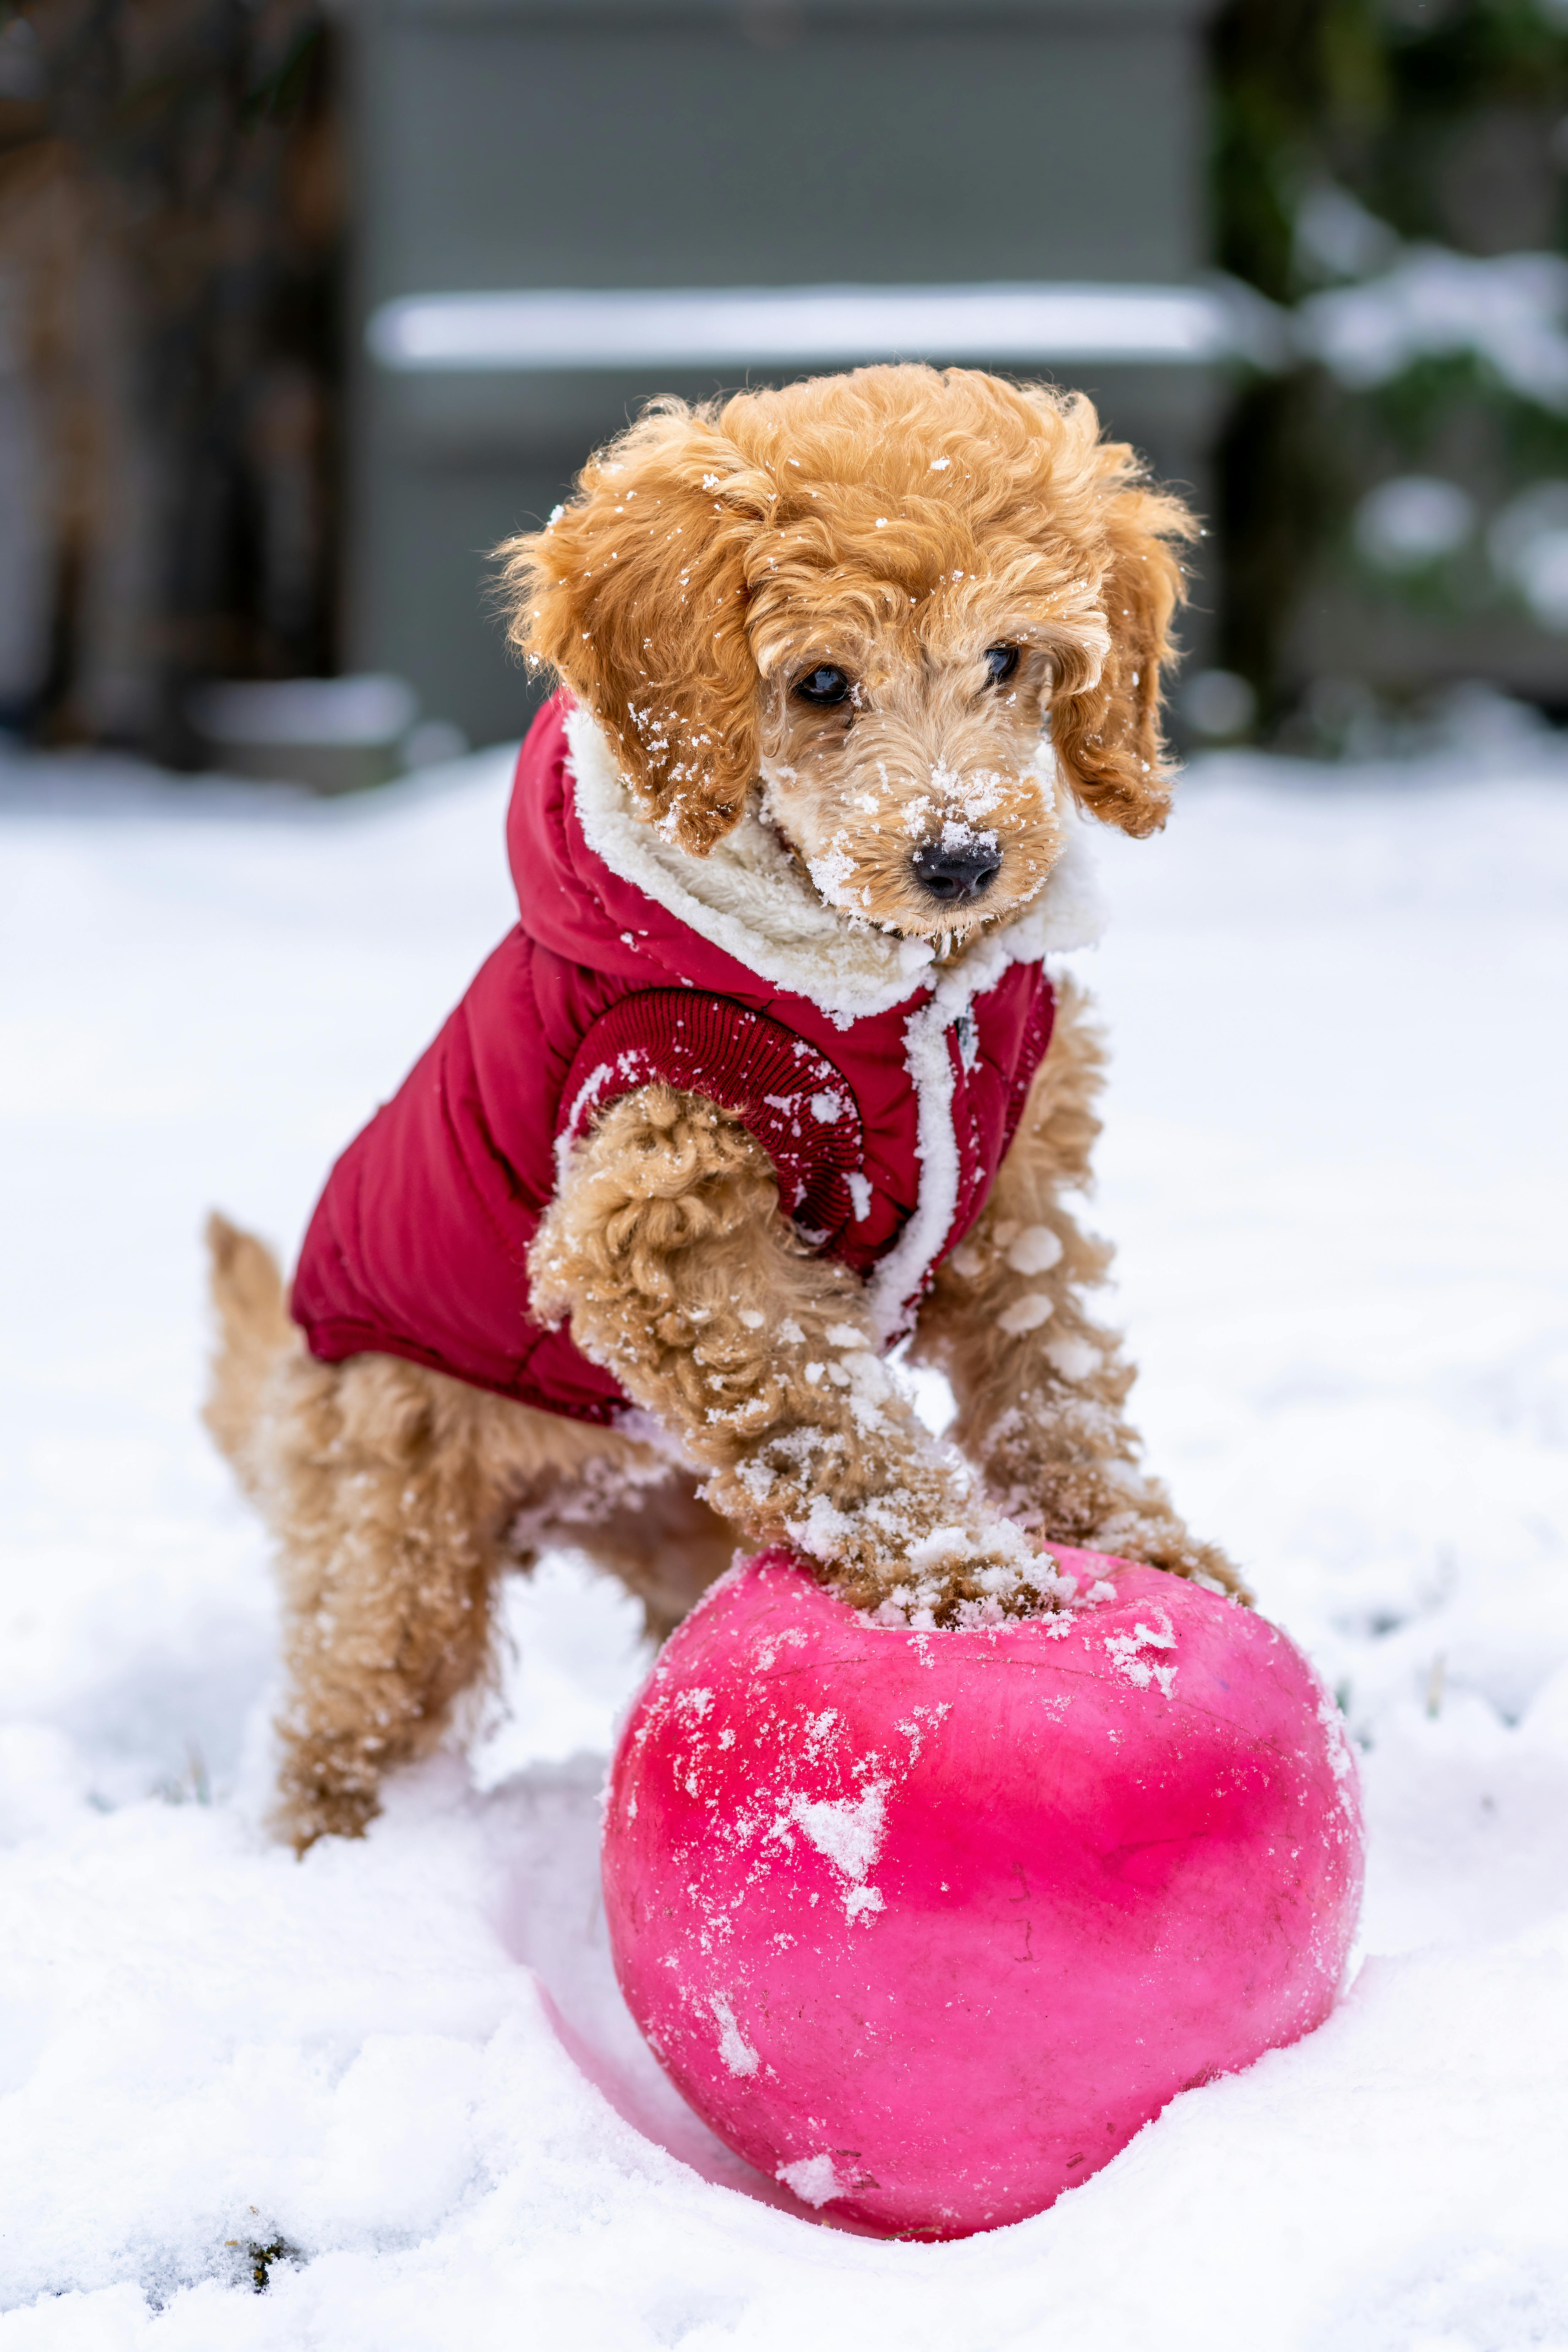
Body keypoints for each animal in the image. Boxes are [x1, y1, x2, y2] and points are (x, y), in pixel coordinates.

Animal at [202, 367, 1241, 1844]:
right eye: (821, 683)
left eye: (1007, 660)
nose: (961, 859)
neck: (899, 999)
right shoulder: (666, 1207)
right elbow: (831, 1410)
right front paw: (967, 1578)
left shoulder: (1018, 1187)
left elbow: (1054, 1373)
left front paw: (1136, 1539)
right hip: (392, 1522)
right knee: (358, 1699)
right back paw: (328, 1852)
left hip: (680, 1520)